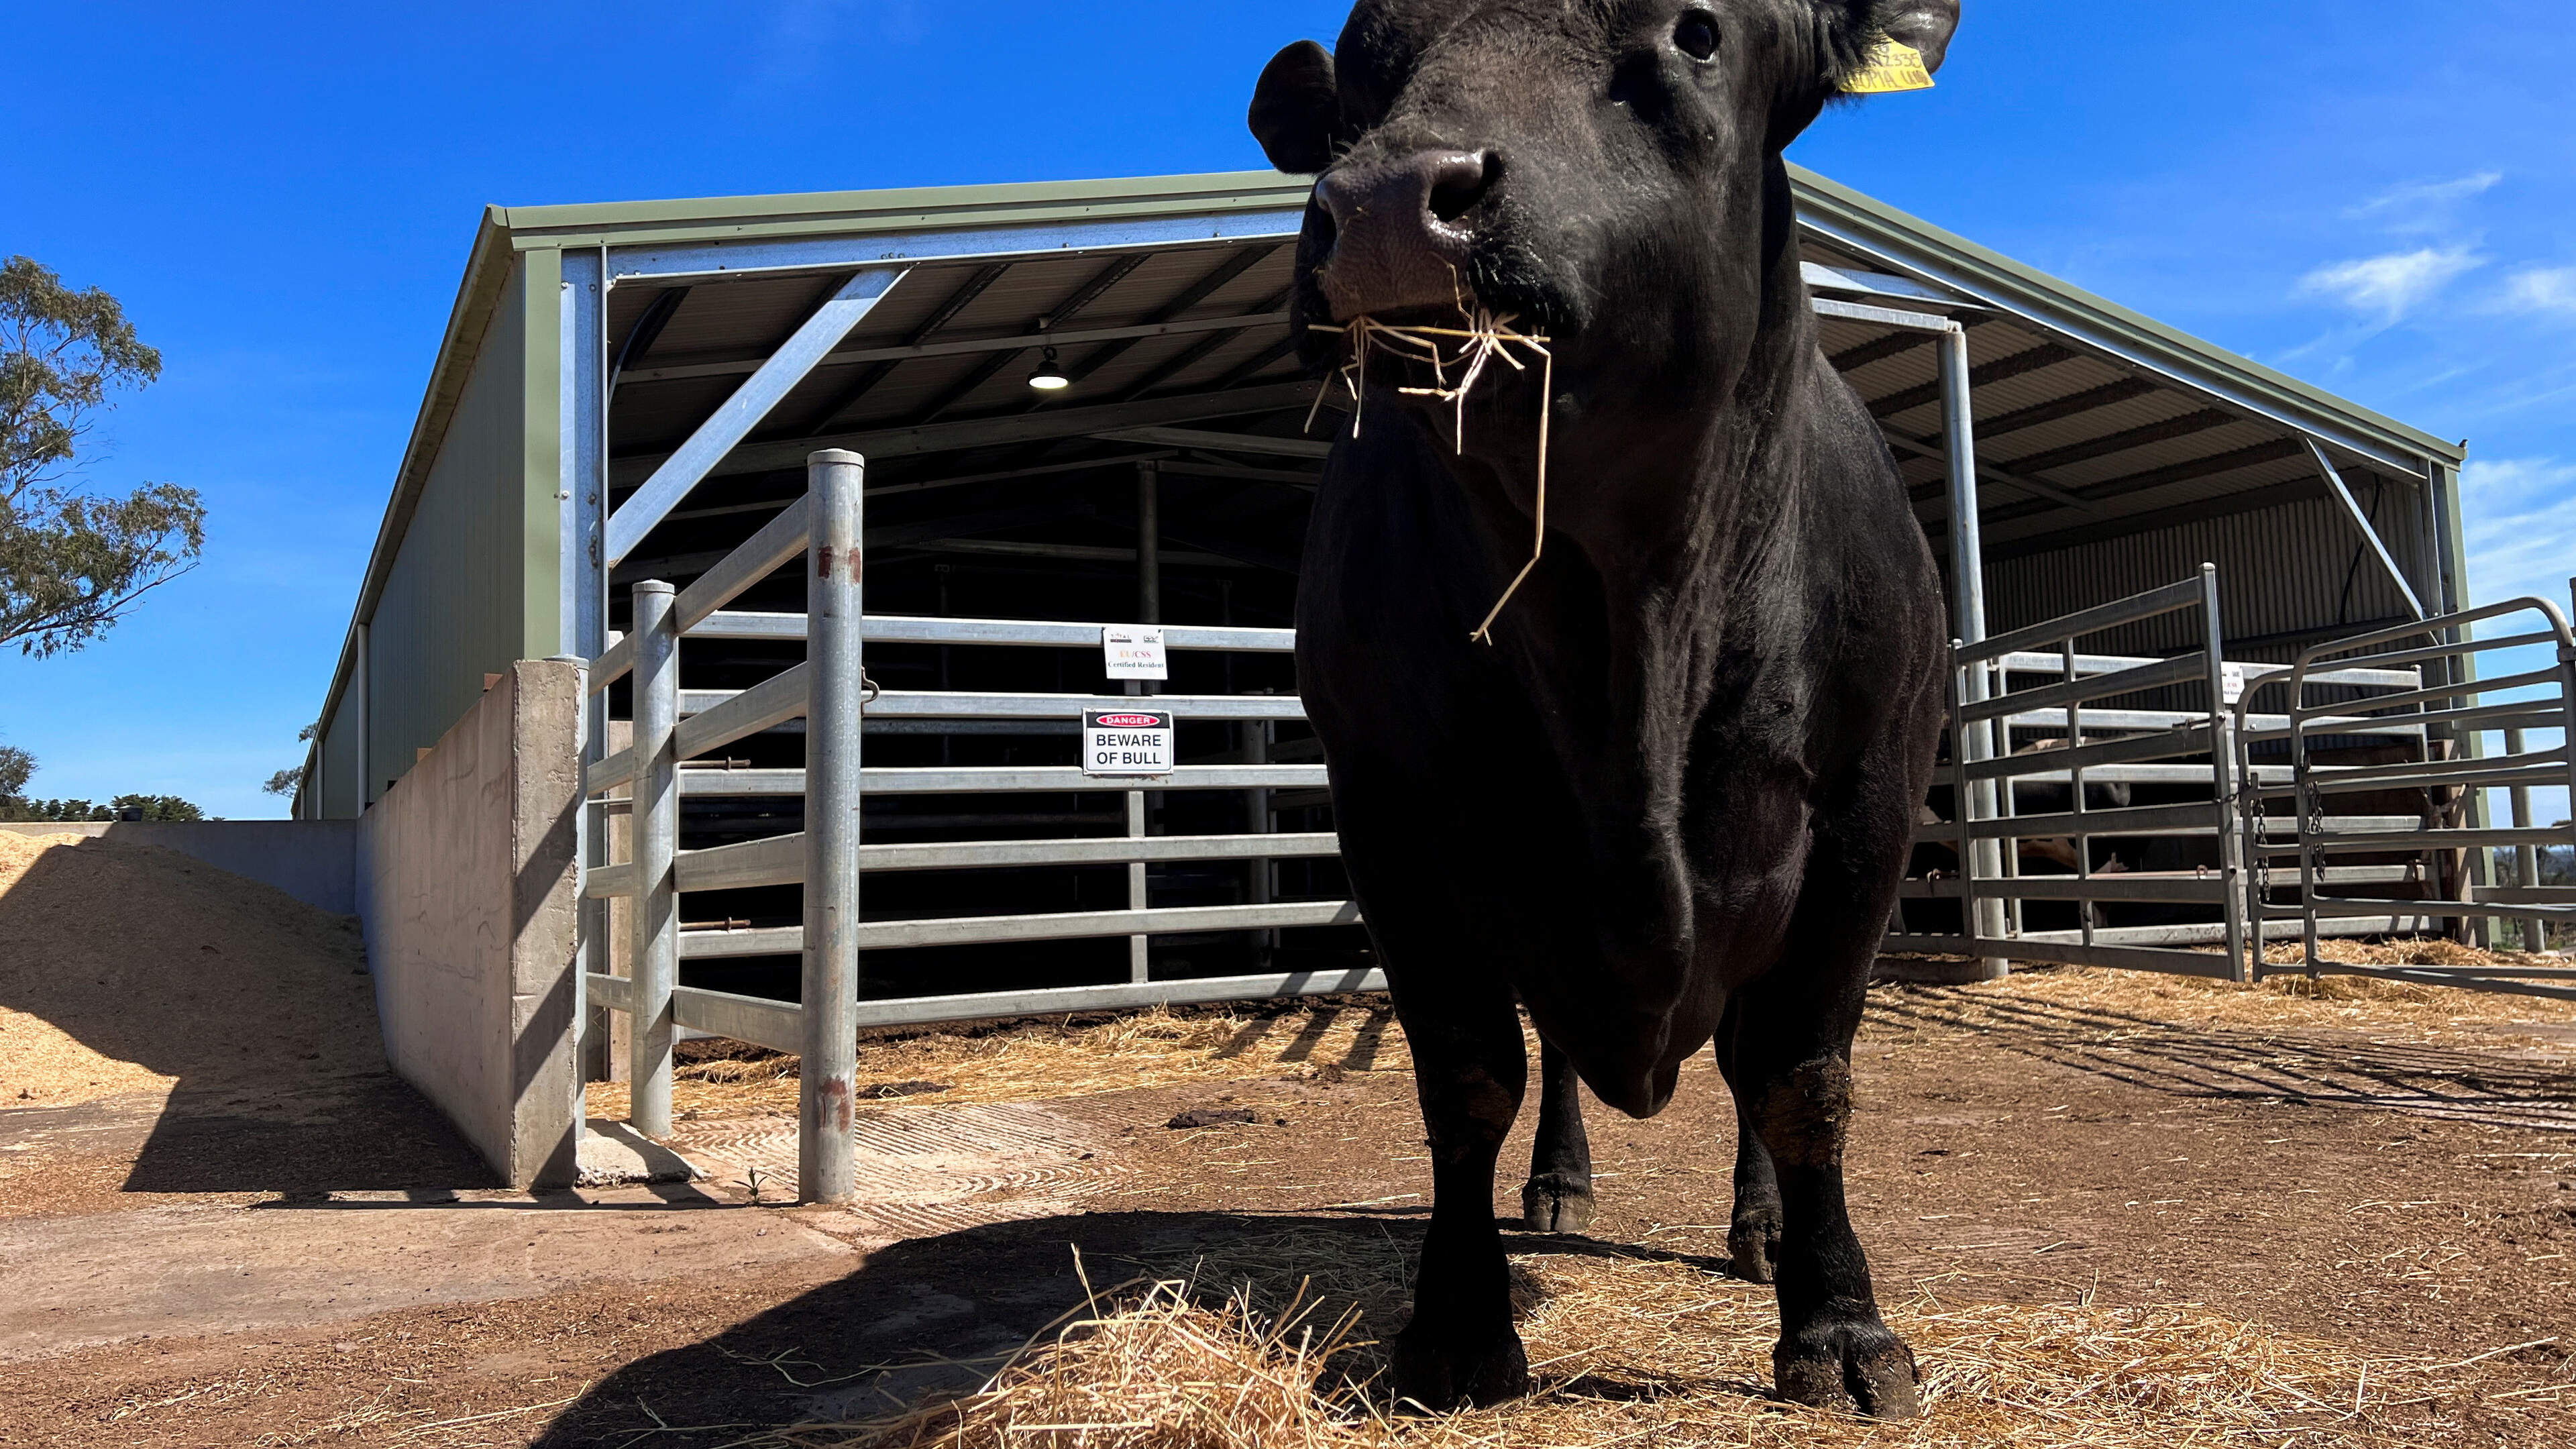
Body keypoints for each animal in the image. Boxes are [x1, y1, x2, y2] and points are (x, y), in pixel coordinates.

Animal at [1247, 0, 1963, 1418]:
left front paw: (1839, 1325)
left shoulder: (1871, 800)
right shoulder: (1390, 811)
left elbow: (1802, 1078)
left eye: (1695, 34)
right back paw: (1561, 1186)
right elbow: (1468, 1074)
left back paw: (1759, 1230)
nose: (1388, 203)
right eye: (1361, 74)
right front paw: (1459, 1323)